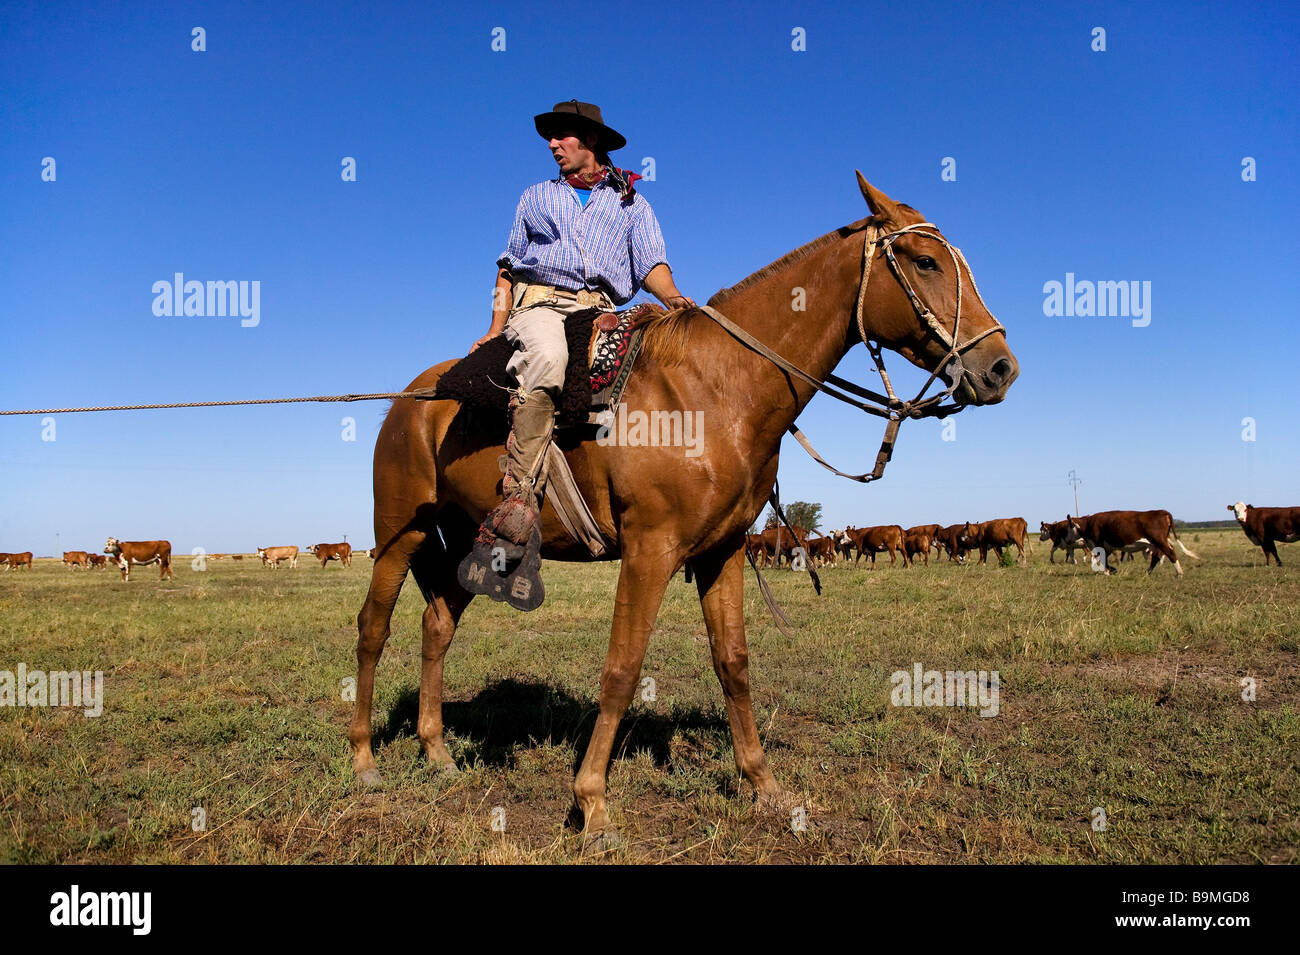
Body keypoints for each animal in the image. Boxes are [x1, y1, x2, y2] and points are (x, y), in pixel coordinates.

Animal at [351, 175, 1019, 847]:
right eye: (926, 262)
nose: (1000, 367)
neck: (717, 389)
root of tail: (408, 400)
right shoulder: (650, 550)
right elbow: (622, 669)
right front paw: (593, 805)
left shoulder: (723, 550)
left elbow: (734, 663)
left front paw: (762, 784)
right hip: (401, 533)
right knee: (373, 628)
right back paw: (364, 760)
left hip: (472, 538)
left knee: (437, 625)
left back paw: (437, 752)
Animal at [1066, 511, 1196, 579]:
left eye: (1067, 527)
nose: (1066, 540)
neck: (1089, 524)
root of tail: (1162, 512)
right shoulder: (1107, 546)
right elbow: (1105, 559)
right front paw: (1112, 570)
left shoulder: (1099, 543)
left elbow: (1103, 559)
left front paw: (1107, 571)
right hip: (1157, 543)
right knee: (1157, 556)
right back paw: (1148, 572)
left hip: (1159, 540)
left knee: (1170, 553)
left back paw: (1179, 573)